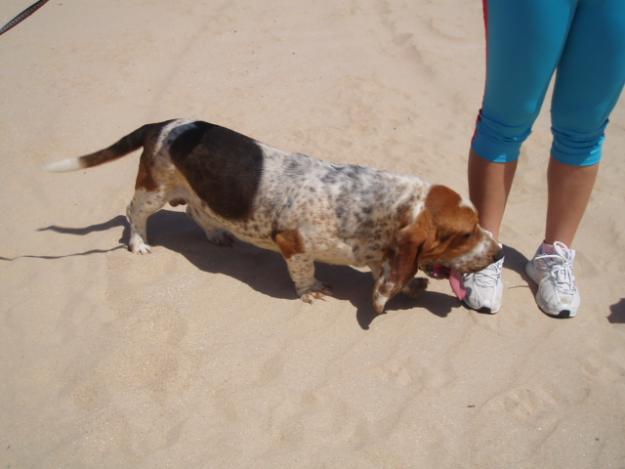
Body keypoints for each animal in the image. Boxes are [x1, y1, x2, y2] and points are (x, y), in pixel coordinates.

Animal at [45, 119, 502, 312]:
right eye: (464, 234)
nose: (499, 252)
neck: (368, 203)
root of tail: (161, 125)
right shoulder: (292, 242)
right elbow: (304, 271)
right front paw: (311, 290)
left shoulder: (380, 253)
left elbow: (388, 274)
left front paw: (409, 287)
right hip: (154, 191)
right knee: (133, 211)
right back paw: (138, 242)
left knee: (195, 208)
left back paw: (216, 235)